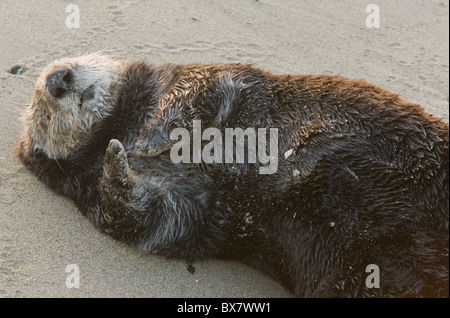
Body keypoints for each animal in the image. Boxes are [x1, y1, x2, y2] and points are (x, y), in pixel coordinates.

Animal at [15, 53, 448, 296]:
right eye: (43, 115)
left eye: (42, 102)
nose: (58, 81)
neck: (125, 119)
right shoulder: (177, 206)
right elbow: (154, 217)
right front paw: (116, 160)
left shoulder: (200, 79)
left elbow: (194, 95)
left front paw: (147, 140)